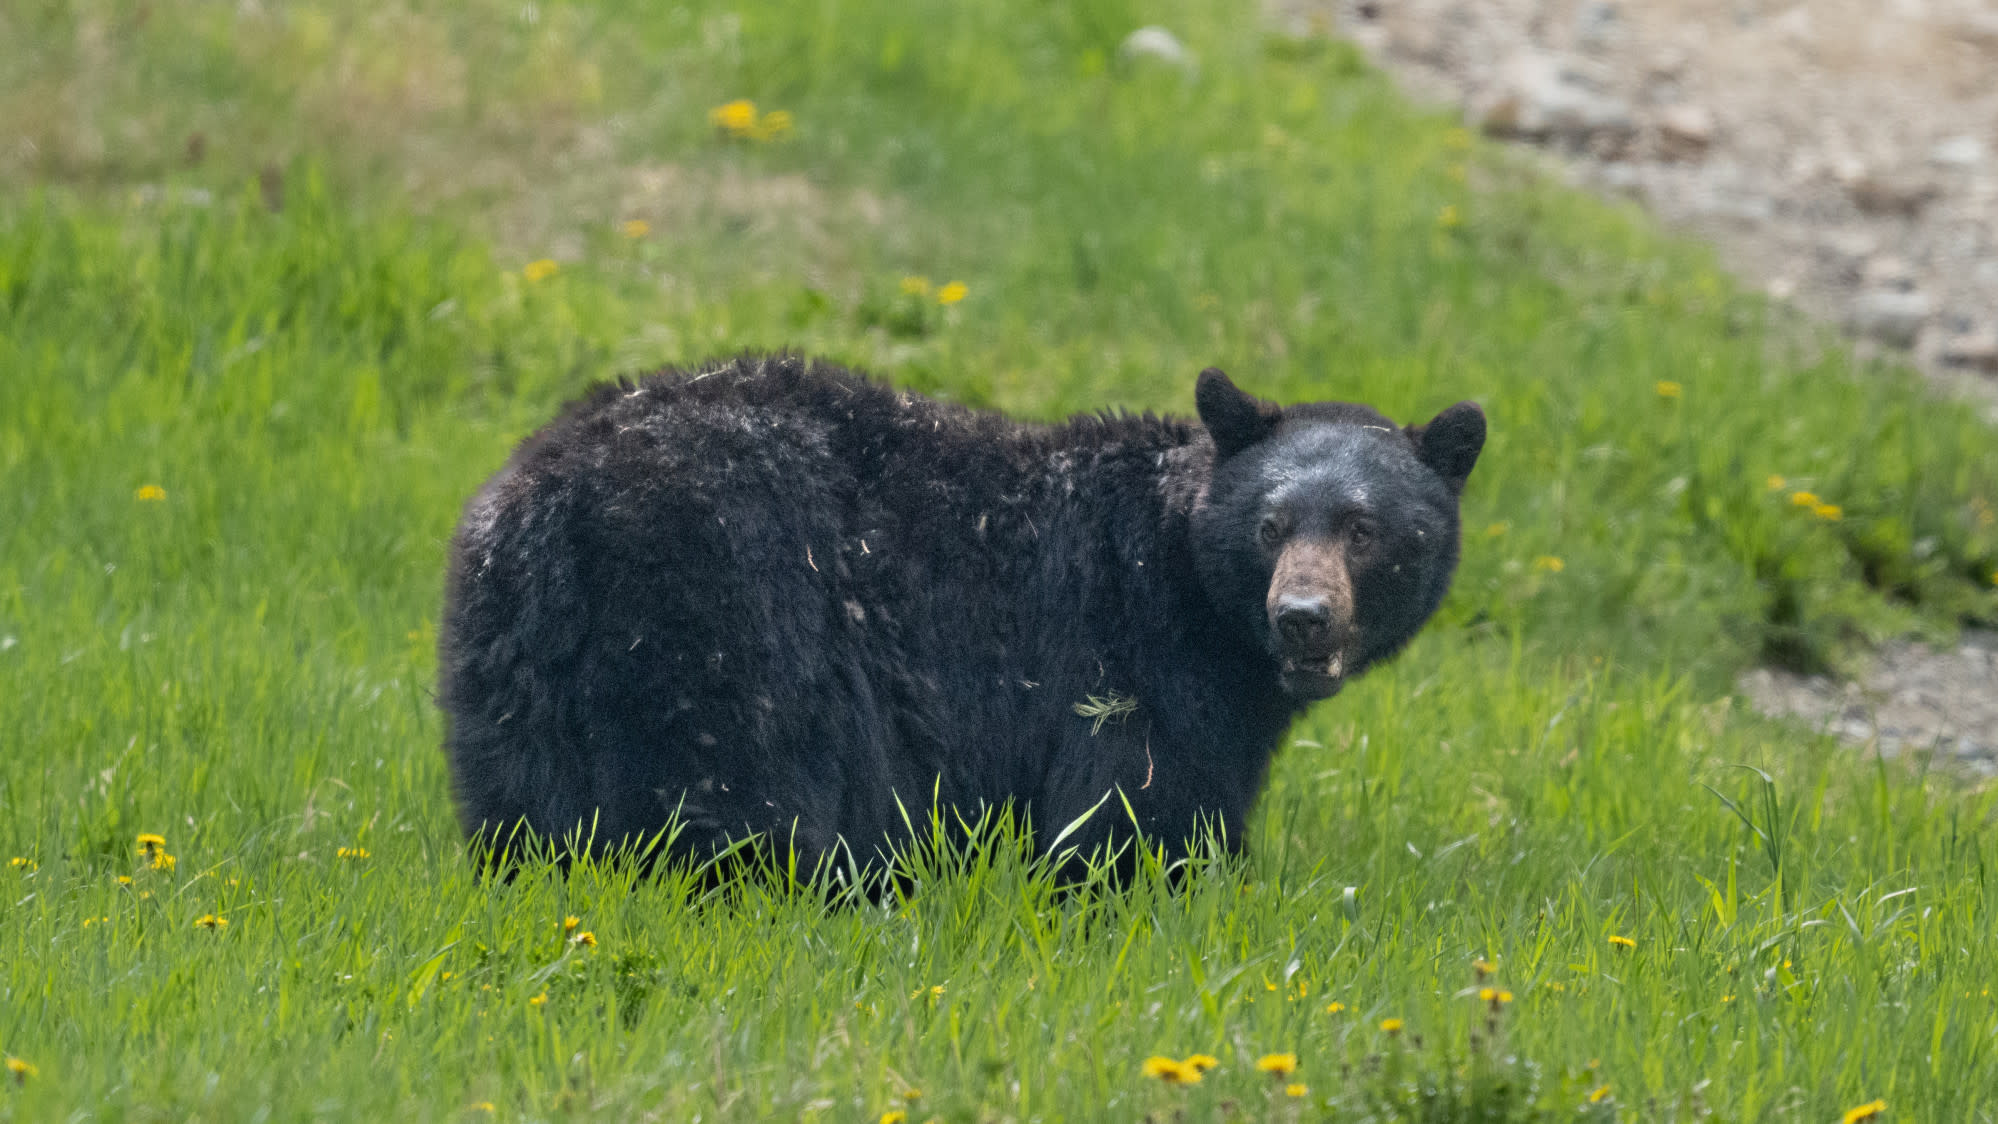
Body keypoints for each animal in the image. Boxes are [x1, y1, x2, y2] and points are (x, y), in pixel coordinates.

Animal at [449, 355, 1486, 882]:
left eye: (1364, 528)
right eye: (1272, 525)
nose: (1304, 617)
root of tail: (557, 500)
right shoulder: (1126, 664)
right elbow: (1130, 808)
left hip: (514, 659)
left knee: (525, 807)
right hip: (718, 615)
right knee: (734, 793)